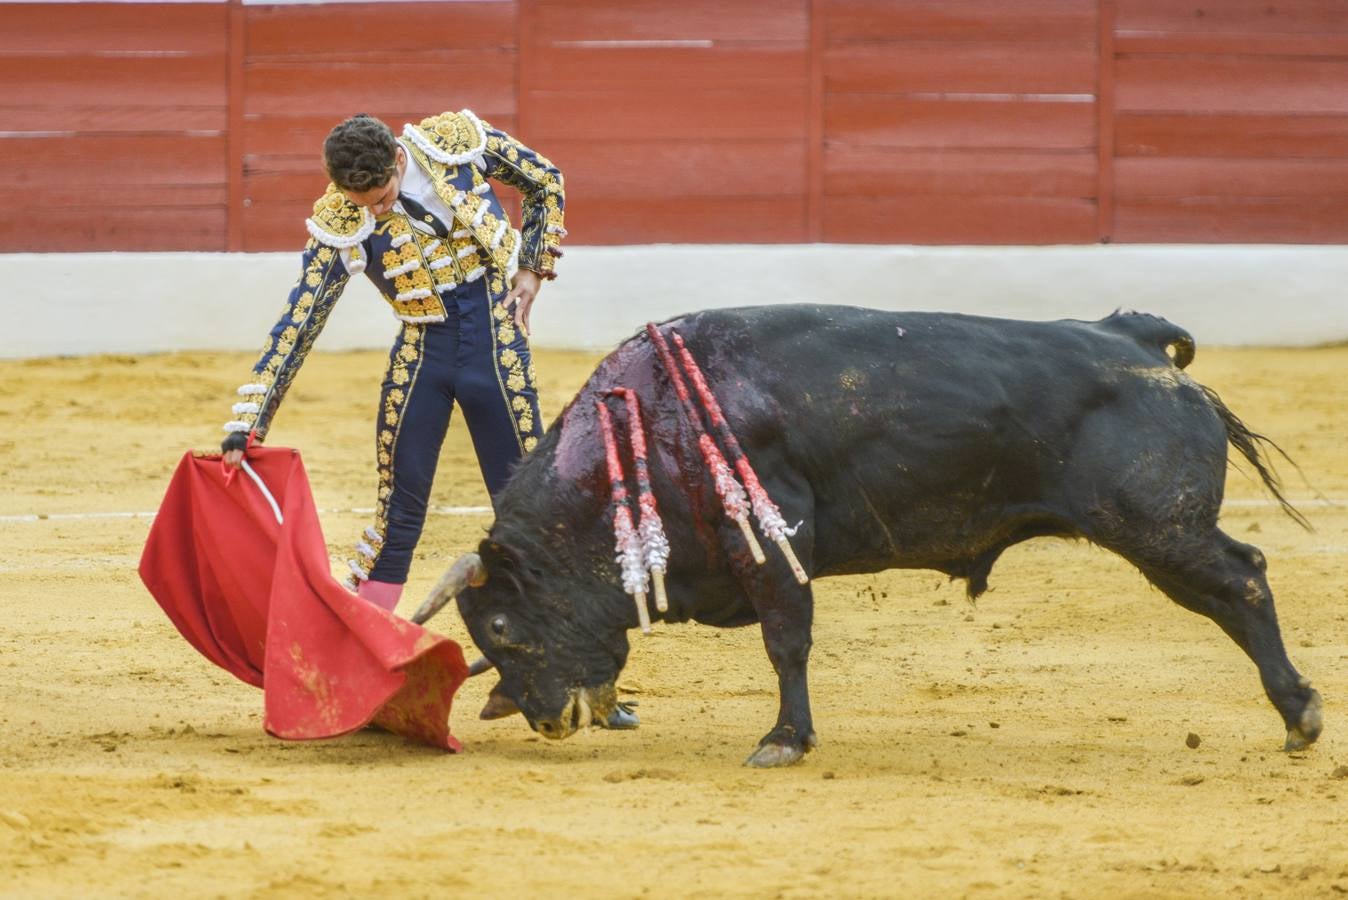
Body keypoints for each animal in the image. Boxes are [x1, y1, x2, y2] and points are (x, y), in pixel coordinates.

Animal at [415, 307, 1321, 765]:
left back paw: (1302, 715)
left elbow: (786, 643)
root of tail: (1143, 344)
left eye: (503, 627)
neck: (647, 429)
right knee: (1235, 590)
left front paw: (784, 740)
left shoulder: (775, 544)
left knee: (1243, 580)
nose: (544, 722)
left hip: (1159, 528)